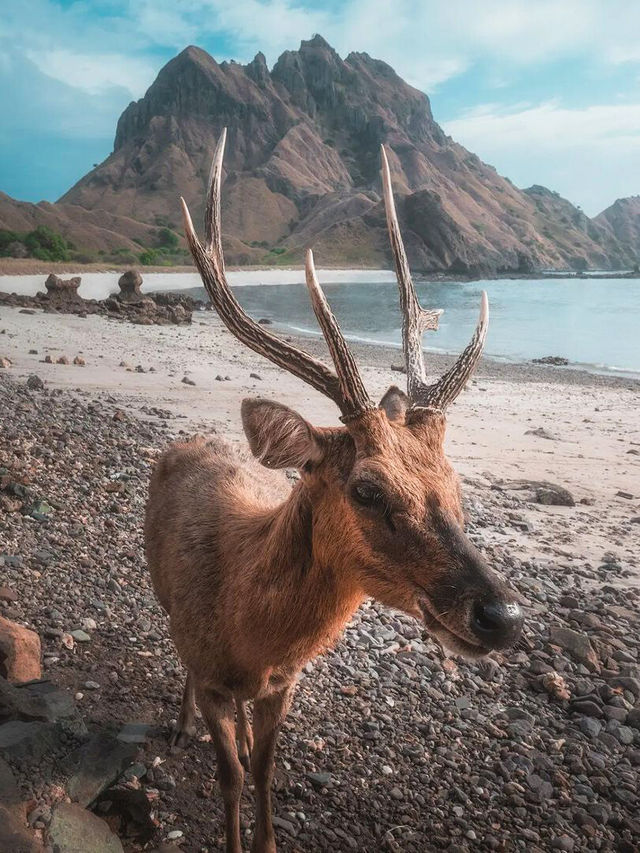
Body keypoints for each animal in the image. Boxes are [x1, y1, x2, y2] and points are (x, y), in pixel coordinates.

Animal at [146, 128, 524, 852]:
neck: (248, 632)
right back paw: (177, 723)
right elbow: (229, 775)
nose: (503, 615)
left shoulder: (284, 683)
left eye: (455, 480)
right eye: (368, 490)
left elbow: (265, 769)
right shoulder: (211, 671)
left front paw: (266, 836)